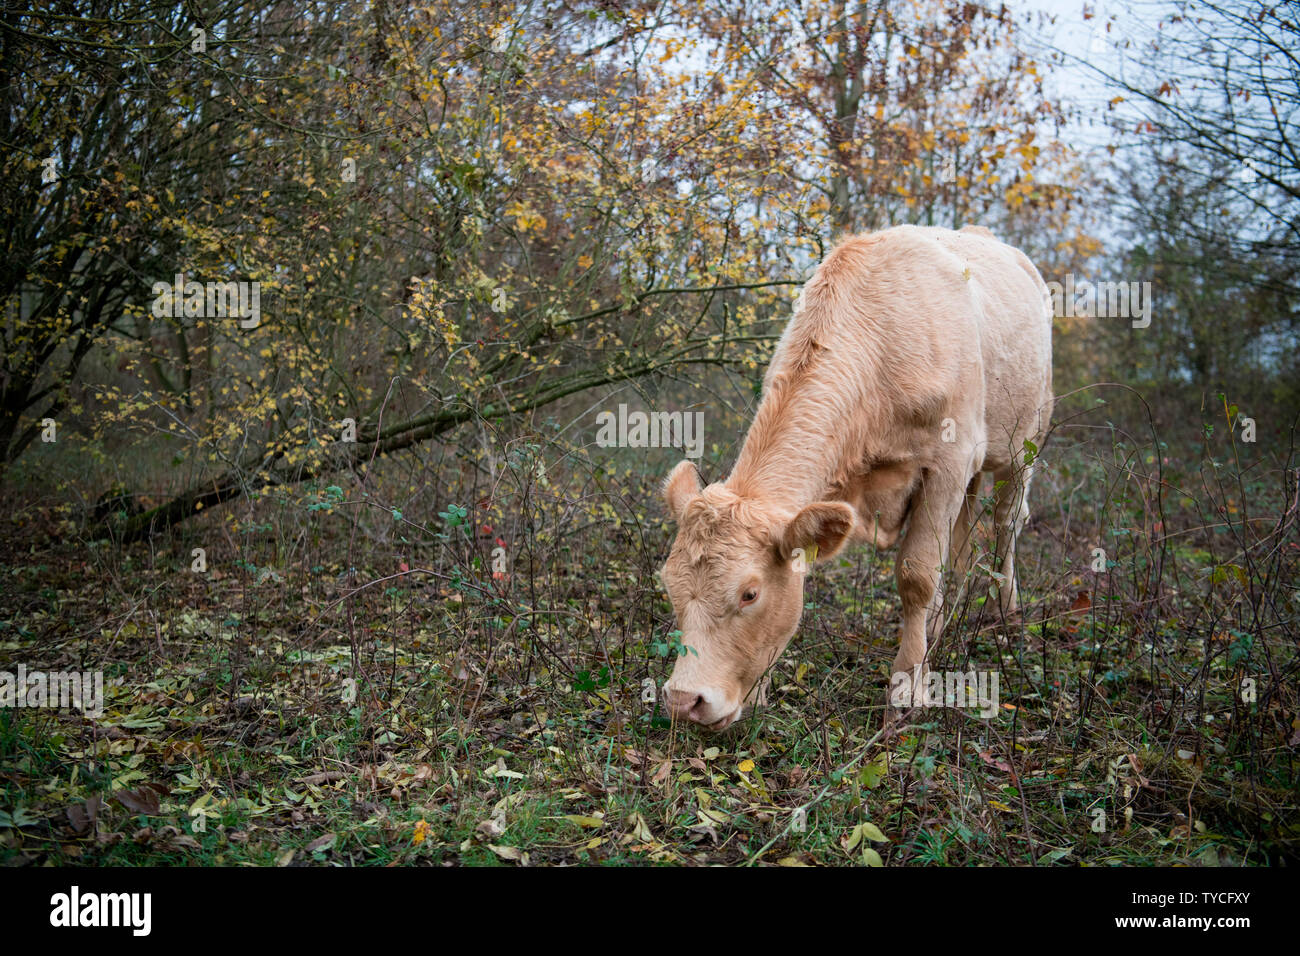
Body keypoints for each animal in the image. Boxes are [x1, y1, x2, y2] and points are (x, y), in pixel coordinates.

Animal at [660, 226, 1055, 733]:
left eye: (750, 594)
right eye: (668, 584)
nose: (684, 700)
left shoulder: (949, 461)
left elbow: (917, 575)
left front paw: (907, 689)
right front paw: (763, 690)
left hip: (1025, 444)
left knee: (1007, 524)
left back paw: (1006, 613)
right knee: (963, 546)